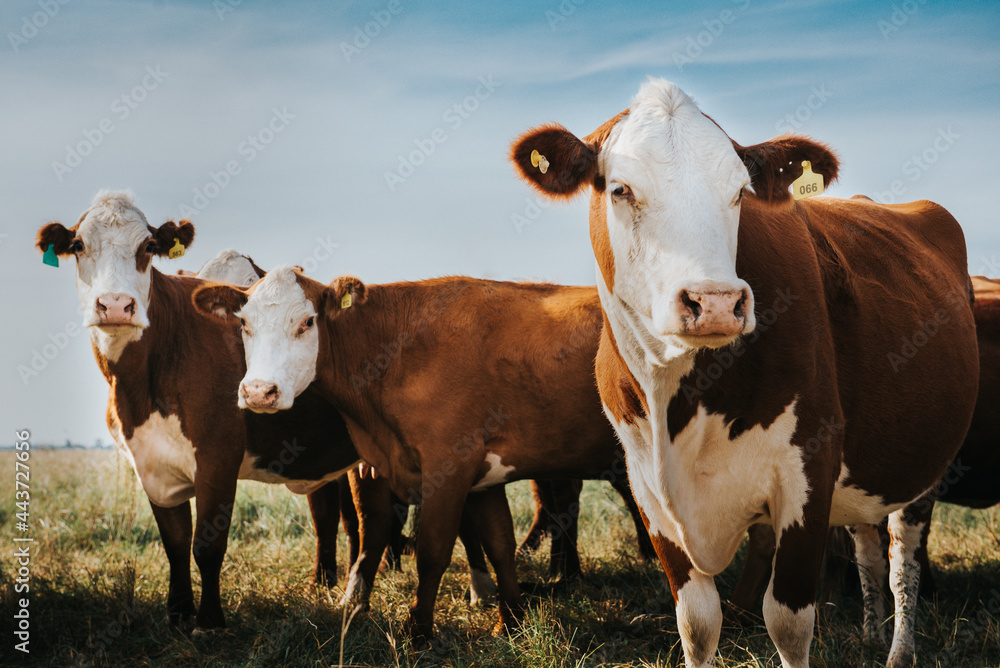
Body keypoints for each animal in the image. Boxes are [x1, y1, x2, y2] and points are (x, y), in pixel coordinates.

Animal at [36, 192, 364, 632]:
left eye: (148, 247)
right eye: (77, 245)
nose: (116, 305)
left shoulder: (217, 457)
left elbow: (207, 545)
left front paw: (209, 621)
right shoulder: (150, 463)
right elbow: (175, 543)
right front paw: (177, 613)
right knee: (329, 513)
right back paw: (325, 586)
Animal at [192, 270, 652, 636]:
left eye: (306, 322)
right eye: (244, 323)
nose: (259, 392)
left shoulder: (449, 467)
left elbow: (433, 551)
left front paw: (419, 630)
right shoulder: (483, 477)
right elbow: (499, 544)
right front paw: (511, 622)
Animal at [508, 79, 976, 668]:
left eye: (738, 193)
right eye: (620, 189)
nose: (714, 303)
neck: (678, 402)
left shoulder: (809, 468)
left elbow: (789, 624)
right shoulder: (647, 487)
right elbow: (697, 623)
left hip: (921, 465)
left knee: (901, 563)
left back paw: (898, 651)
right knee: (869, 550)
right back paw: (870, 636)